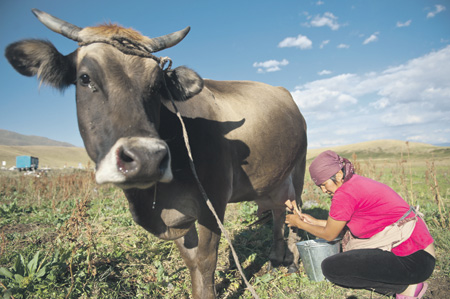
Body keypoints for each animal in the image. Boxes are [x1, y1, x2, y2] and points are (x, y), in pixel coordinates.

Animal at [5, 9, 308, 299]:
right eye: (85, 78)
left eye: (157, 85)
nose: (146, 158)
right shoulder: (177, 216)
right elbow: (191, 261)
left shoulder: (214, 201)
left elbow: (206, 260)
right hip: (272, 179)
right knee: (278, 211)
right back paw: (275, 258)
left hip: (299, 168)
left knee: (295, 213)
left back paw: (292, 261)